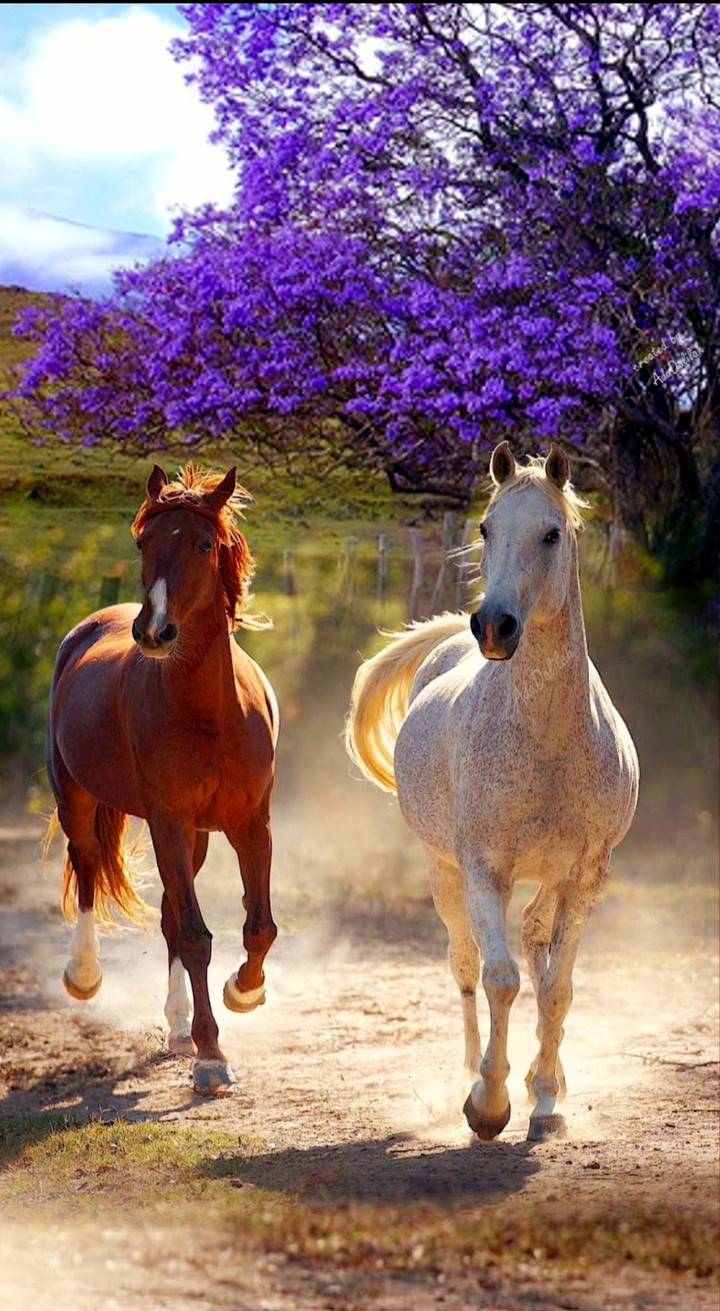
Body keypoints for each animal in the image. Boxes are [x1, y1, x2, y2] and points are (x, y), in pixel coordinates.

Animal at [46, 463, 279, 1095]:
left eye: (204, 545)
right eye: (143, 543)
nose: (154, 631)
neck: (210, 714)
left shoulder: (250, 824)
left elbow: (258, 927)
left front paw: (244, 990)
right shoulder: (168, 822)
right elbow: (198, 937)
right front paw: (212, 1055)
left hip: (196, 837)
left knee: (171, 914)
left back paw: (177, 1028)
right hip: (77, 797)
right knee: (87, 867)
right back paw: (83, 974)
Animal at [345, 442, 639, 1141]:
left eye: (551, 533)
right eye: (485, 528)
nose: (495, 627)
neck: (549, 741)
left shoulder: (585, 877)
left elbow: (556, 986)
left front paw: (547, 1101)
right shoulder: (484, 870)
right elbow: (499, 978)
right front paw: (488, 1102)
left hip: (549, 879)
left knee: (535, 942)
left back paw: (546, 1082)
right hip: (443, 872)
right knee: (464, 967)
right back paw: (466, 1078)